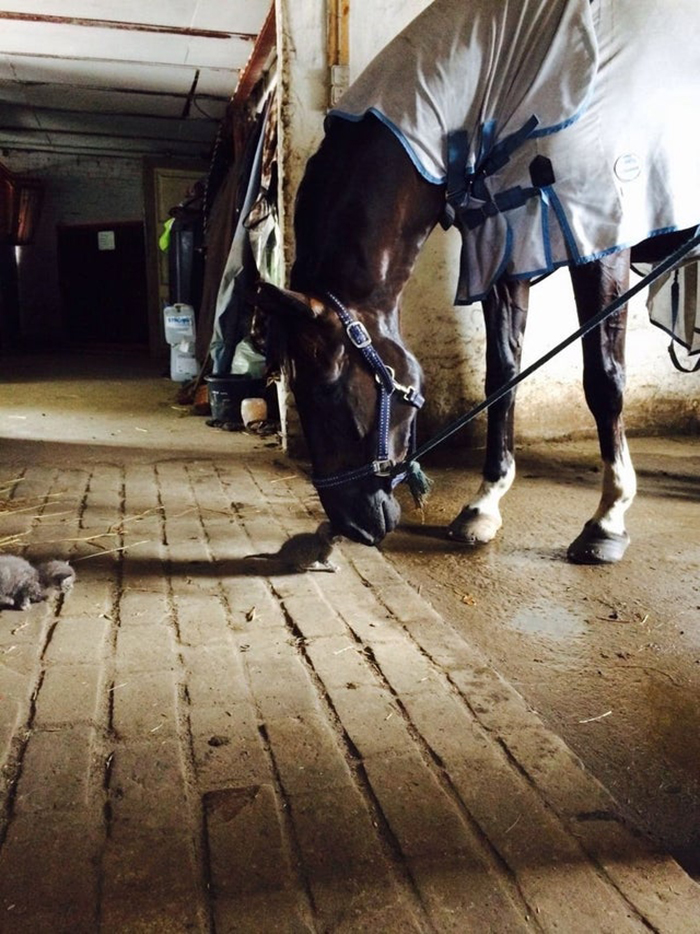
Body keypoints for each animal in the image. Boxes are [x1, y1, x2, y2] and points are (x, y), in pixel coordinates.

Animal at [258, 111, 696, 564]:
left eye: (326, 390)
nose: (351, 524)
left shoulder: (602, 245)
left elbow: (604, 381)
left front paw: (608, 519)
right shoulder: (507, 257)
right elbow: (502, 378)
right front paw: (484, 505)